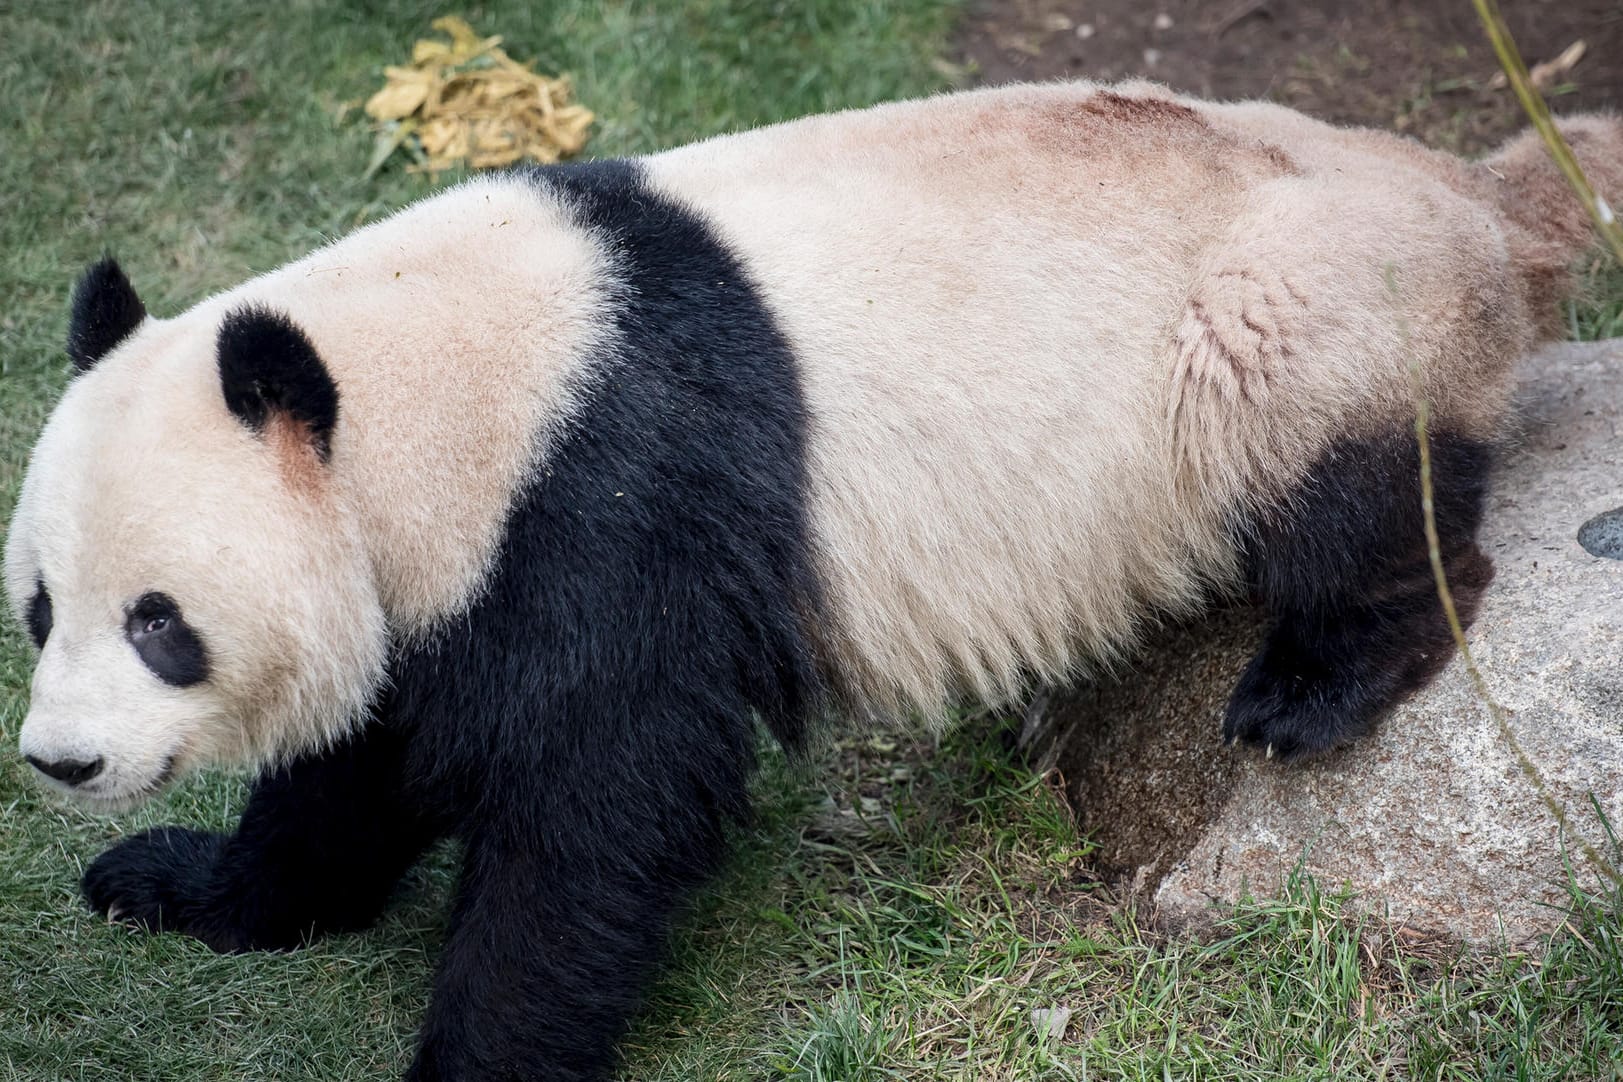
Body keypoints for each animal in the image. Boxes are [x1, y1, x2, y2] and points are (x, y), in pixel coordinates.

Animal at [9, 84, 1623, 1082]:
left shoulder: (610, 501)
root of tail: (1468, 191)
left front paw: (482, 1050)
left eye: (161, 624)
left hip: (1302, 308)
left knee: (1344, 473)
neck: (449, 379)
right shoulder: (459, 566)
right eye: (39, 605)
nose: (62, 762)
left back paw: (1317, 681)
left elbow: (596, 805)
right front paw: (180, 884)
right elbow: (368, 759)